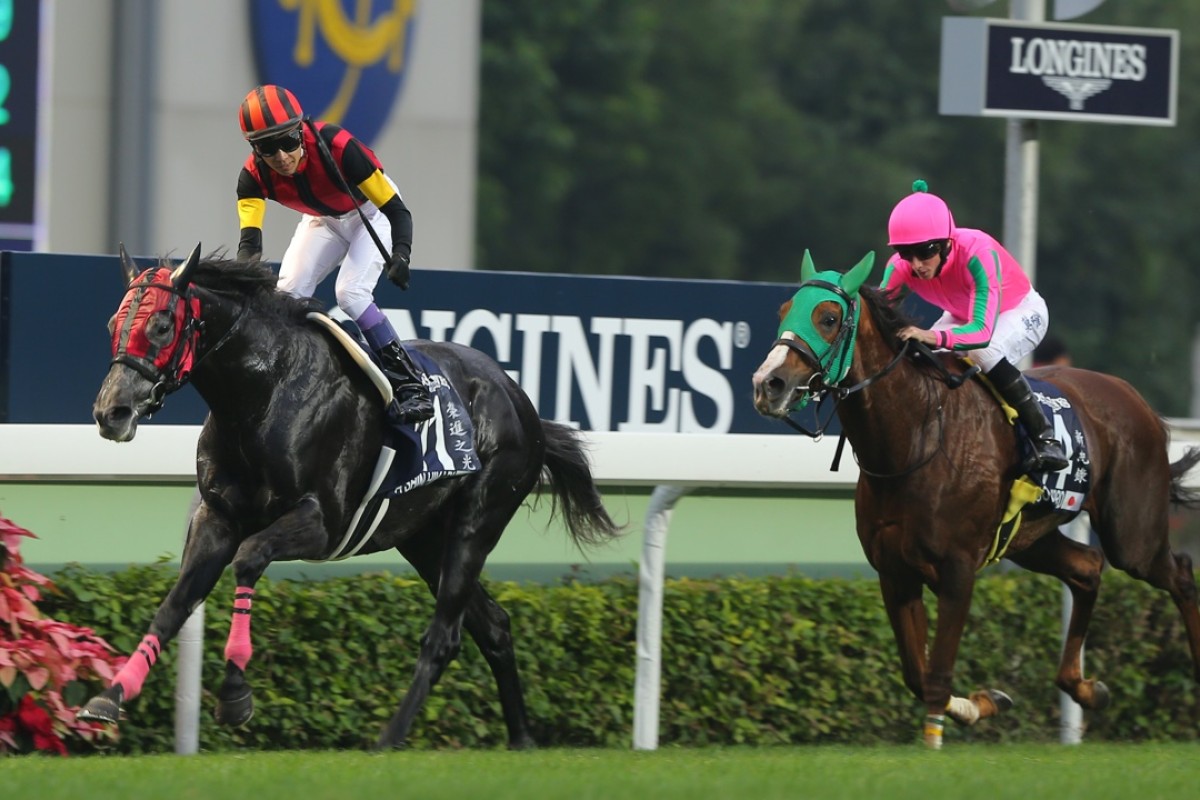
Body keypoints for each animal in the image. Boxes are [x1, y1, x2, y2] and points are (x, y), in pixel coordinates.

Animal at [77, 245, 619, 753]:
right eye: (112, 324)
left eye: (162, 325)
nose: (111, 412)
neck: (263, 391)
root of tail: (520, 400)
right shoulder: (217, 516)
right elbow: (175, 604)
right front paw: (109, 697)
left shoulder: (323, 522)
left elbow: (249, 559)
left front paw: (234, 694)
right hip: (424, 538)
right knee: (495, 626)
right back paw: (521, 737)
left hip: (479, 517)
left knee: (445, 634)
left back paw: (389, 737)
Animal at [748, 251, 1200, 753]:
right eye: (783, 310)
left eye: (828, 318)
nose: (768, 383)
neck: (917, 438)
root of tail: (1135, 397)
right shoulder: (895, 572)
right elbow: (916, 673)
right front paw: (983, 703)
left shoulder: (957, 570)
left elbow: (936, 674)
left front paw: (935, 741)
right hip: (1029, 539)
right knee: (1087, 568)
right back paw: (1083, 687)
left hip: (1133, 535)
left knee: (1179, 574)